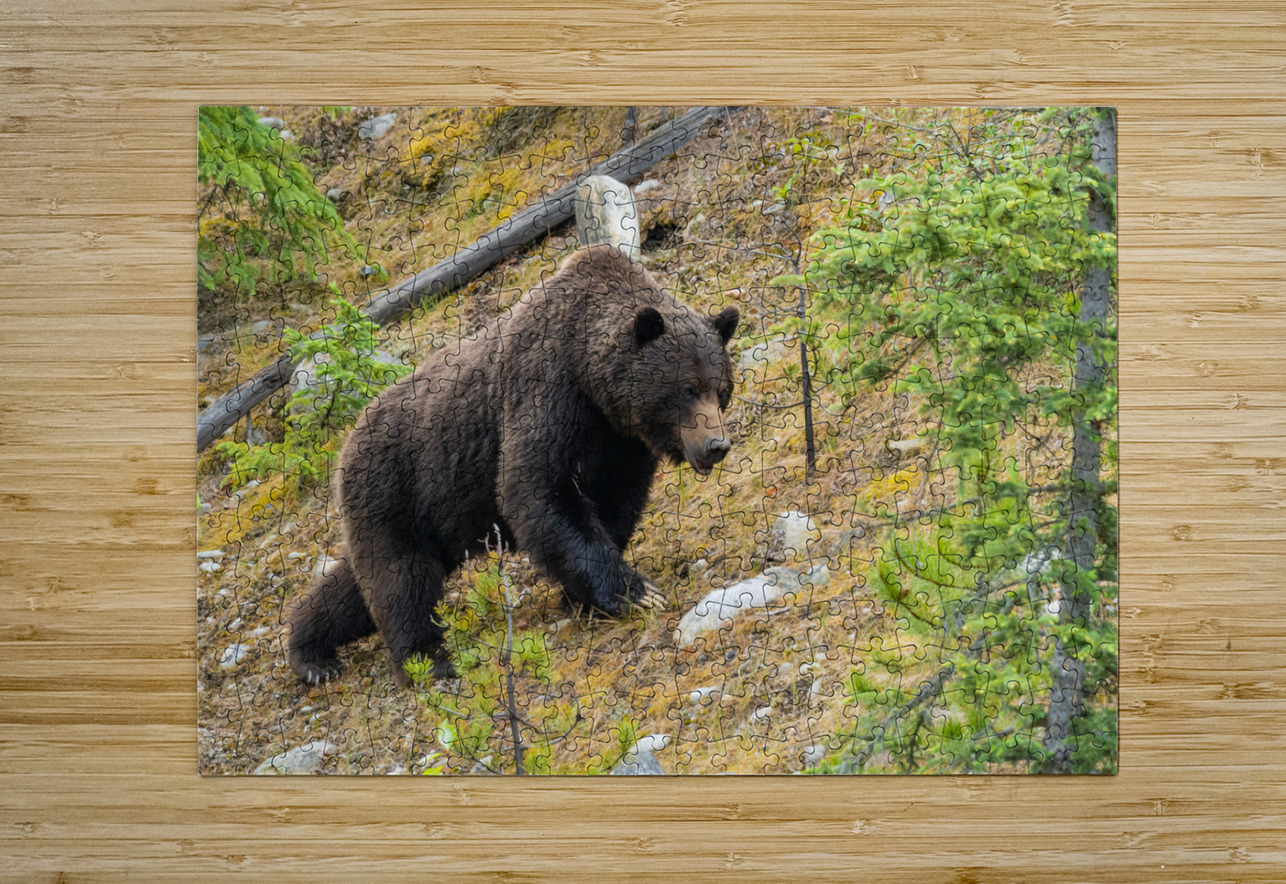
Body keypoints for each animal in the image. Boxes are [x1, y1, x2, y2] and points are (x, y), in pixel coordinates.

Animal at [285, 244, 740, 687]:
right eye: (687, 389)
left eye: (721, 390)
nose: (717, 444)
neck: (593, 382)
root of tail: (347, 441)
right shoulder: (546, 393)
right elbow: (537, 491)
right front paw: (636, 591)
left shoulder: (620, 441)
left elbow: (614, 502)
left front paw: (584, 595)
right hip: (392, 486)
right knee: (401, 579)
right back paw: (427, 663)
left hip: (426, 513)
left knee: (359, 584)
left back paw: (310, 651)